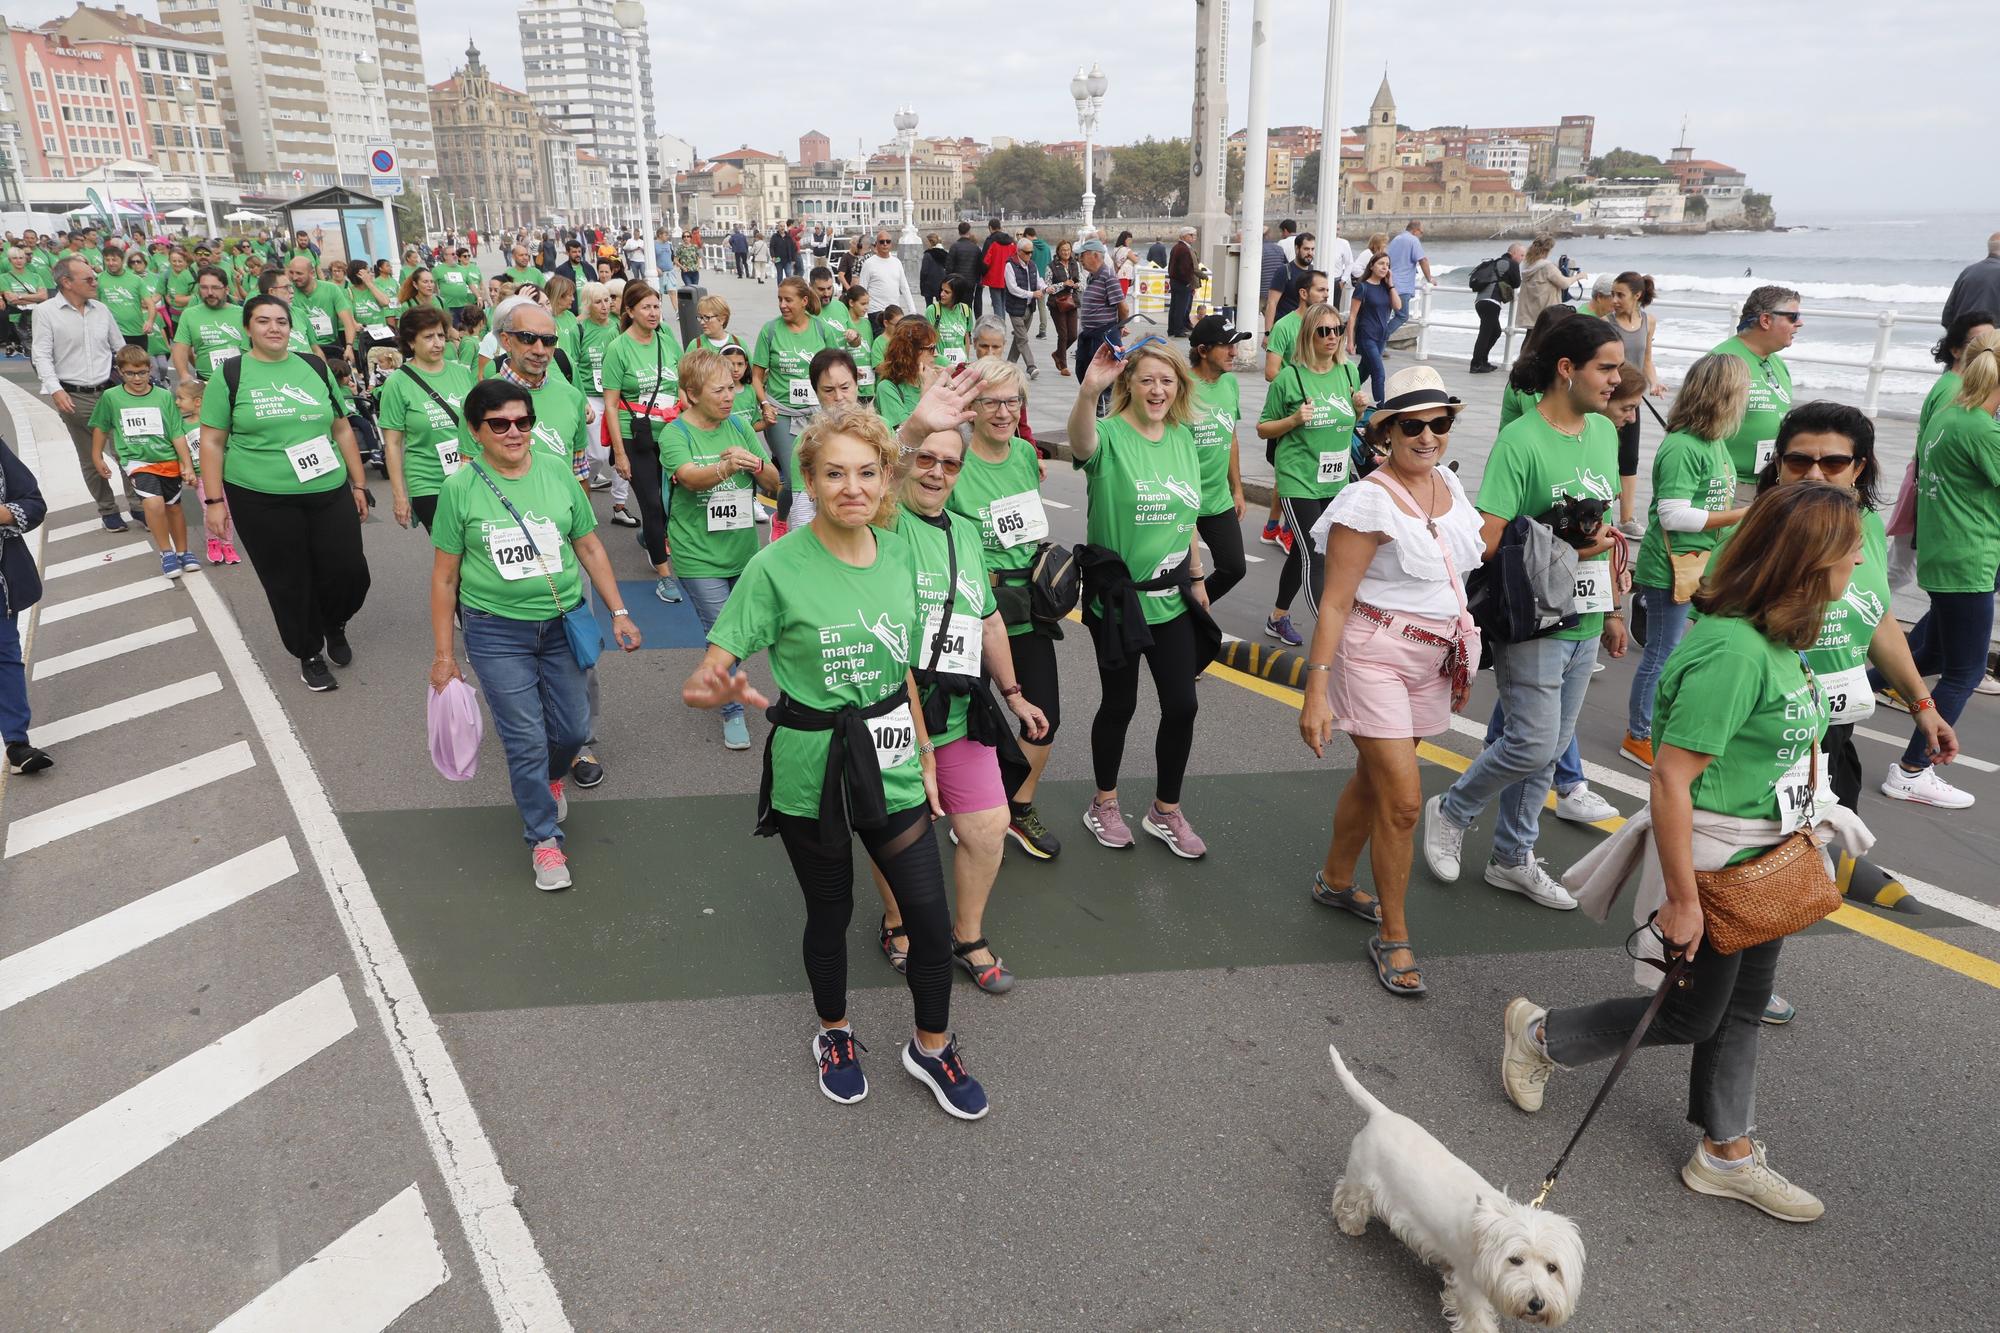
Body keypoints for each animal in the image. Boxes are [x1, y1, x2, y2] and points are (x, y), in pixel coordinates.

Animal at [1320, 1040, 1584, 1320]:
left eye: (1552, 1267)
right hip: (1362, 1177)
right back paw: (1351, 1225)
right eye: (1515, 1259)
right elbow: (1477, 1318)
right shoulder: (1469, 1284)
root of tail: (1382, 1114)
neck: (1487, 1232)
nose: (1536, 1303)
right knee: (1348, 1196)